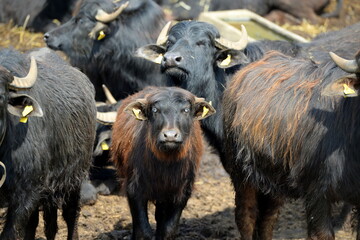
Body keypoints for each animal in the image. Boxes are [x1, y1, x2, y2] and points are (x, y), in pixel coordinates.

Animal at [109, 86, 215, 240]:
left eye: (185, 110)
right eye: (155, 110)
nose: (170, 136)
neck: (165, 165)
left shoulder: (181, 192)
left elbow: (168, 229)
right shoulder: (134, 190)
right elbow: (143, 230)